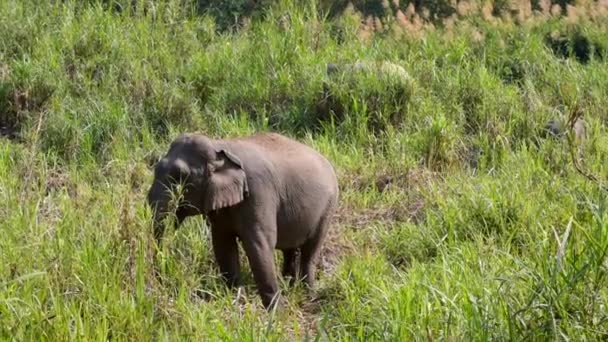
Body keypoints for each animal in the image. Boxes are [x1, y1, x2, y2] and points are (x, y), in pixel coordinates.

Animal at [145, 132, 340, 308]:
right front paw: (234, 295)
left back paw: (308, 294)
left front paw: (275, 310)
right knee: (289, 250)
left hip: (328, 208)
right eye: (155, 167)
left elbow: (259, 244)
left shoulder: (258, 192)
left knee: (310, 251)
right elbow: (223, 244)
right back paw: (289, 286)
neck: (220, 145)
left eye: (180, 176)